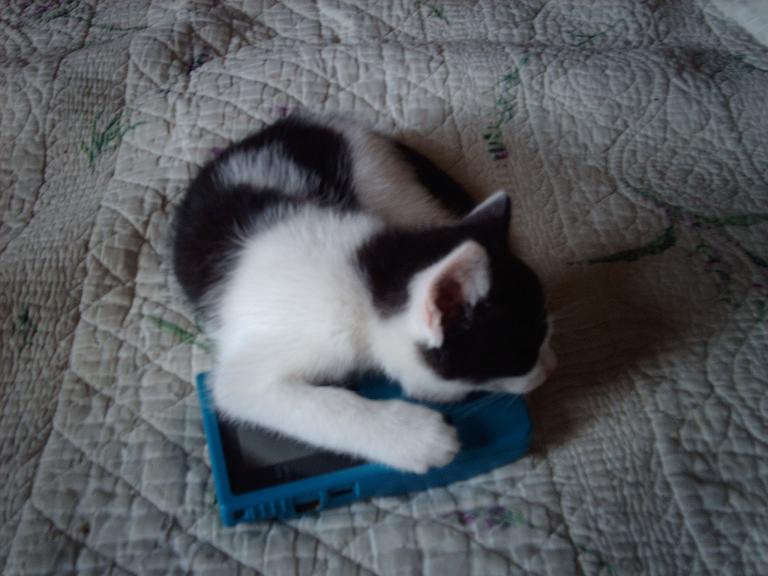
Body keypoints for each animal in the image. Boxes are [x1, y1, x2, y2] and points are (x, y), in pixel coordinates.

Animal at [173, 114, 556, 473]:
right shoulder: (253, 369)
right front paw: (417, 437)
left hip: (386, 182)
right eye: (524, 353)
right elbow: (307, 402)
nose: (549, 371)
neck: (368, 277)